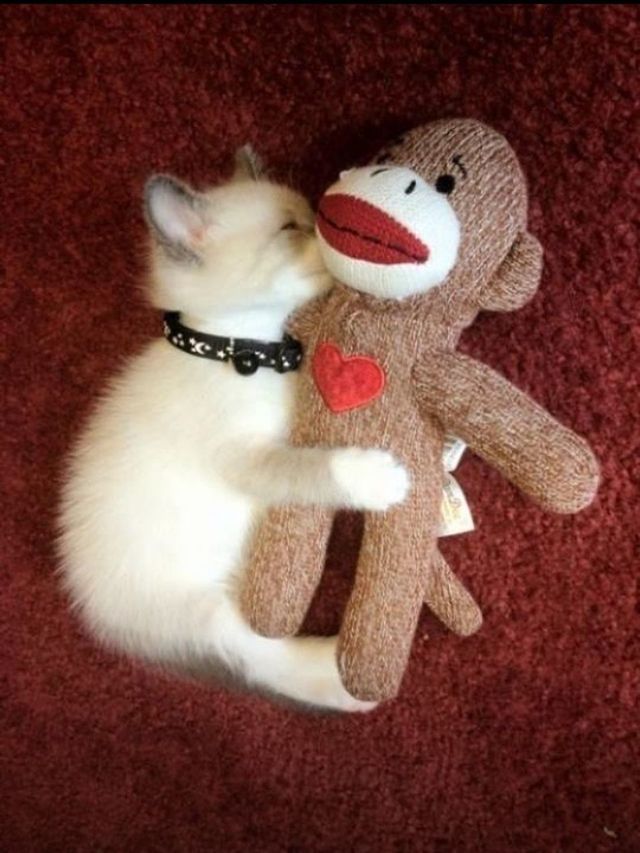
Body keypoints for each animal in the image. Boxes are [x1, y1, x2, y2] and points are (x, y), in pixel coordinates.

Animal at [61, 150, 410, 708]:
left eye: (313, 214)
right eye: (291, 228)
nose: (332, 233)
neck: (244, 352)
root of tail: (103, 622)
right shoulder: (244, 457)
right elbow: (312, 466)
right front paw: (377, 478)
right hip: (207, 609)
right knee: (256, 657)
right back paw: (342, 681)